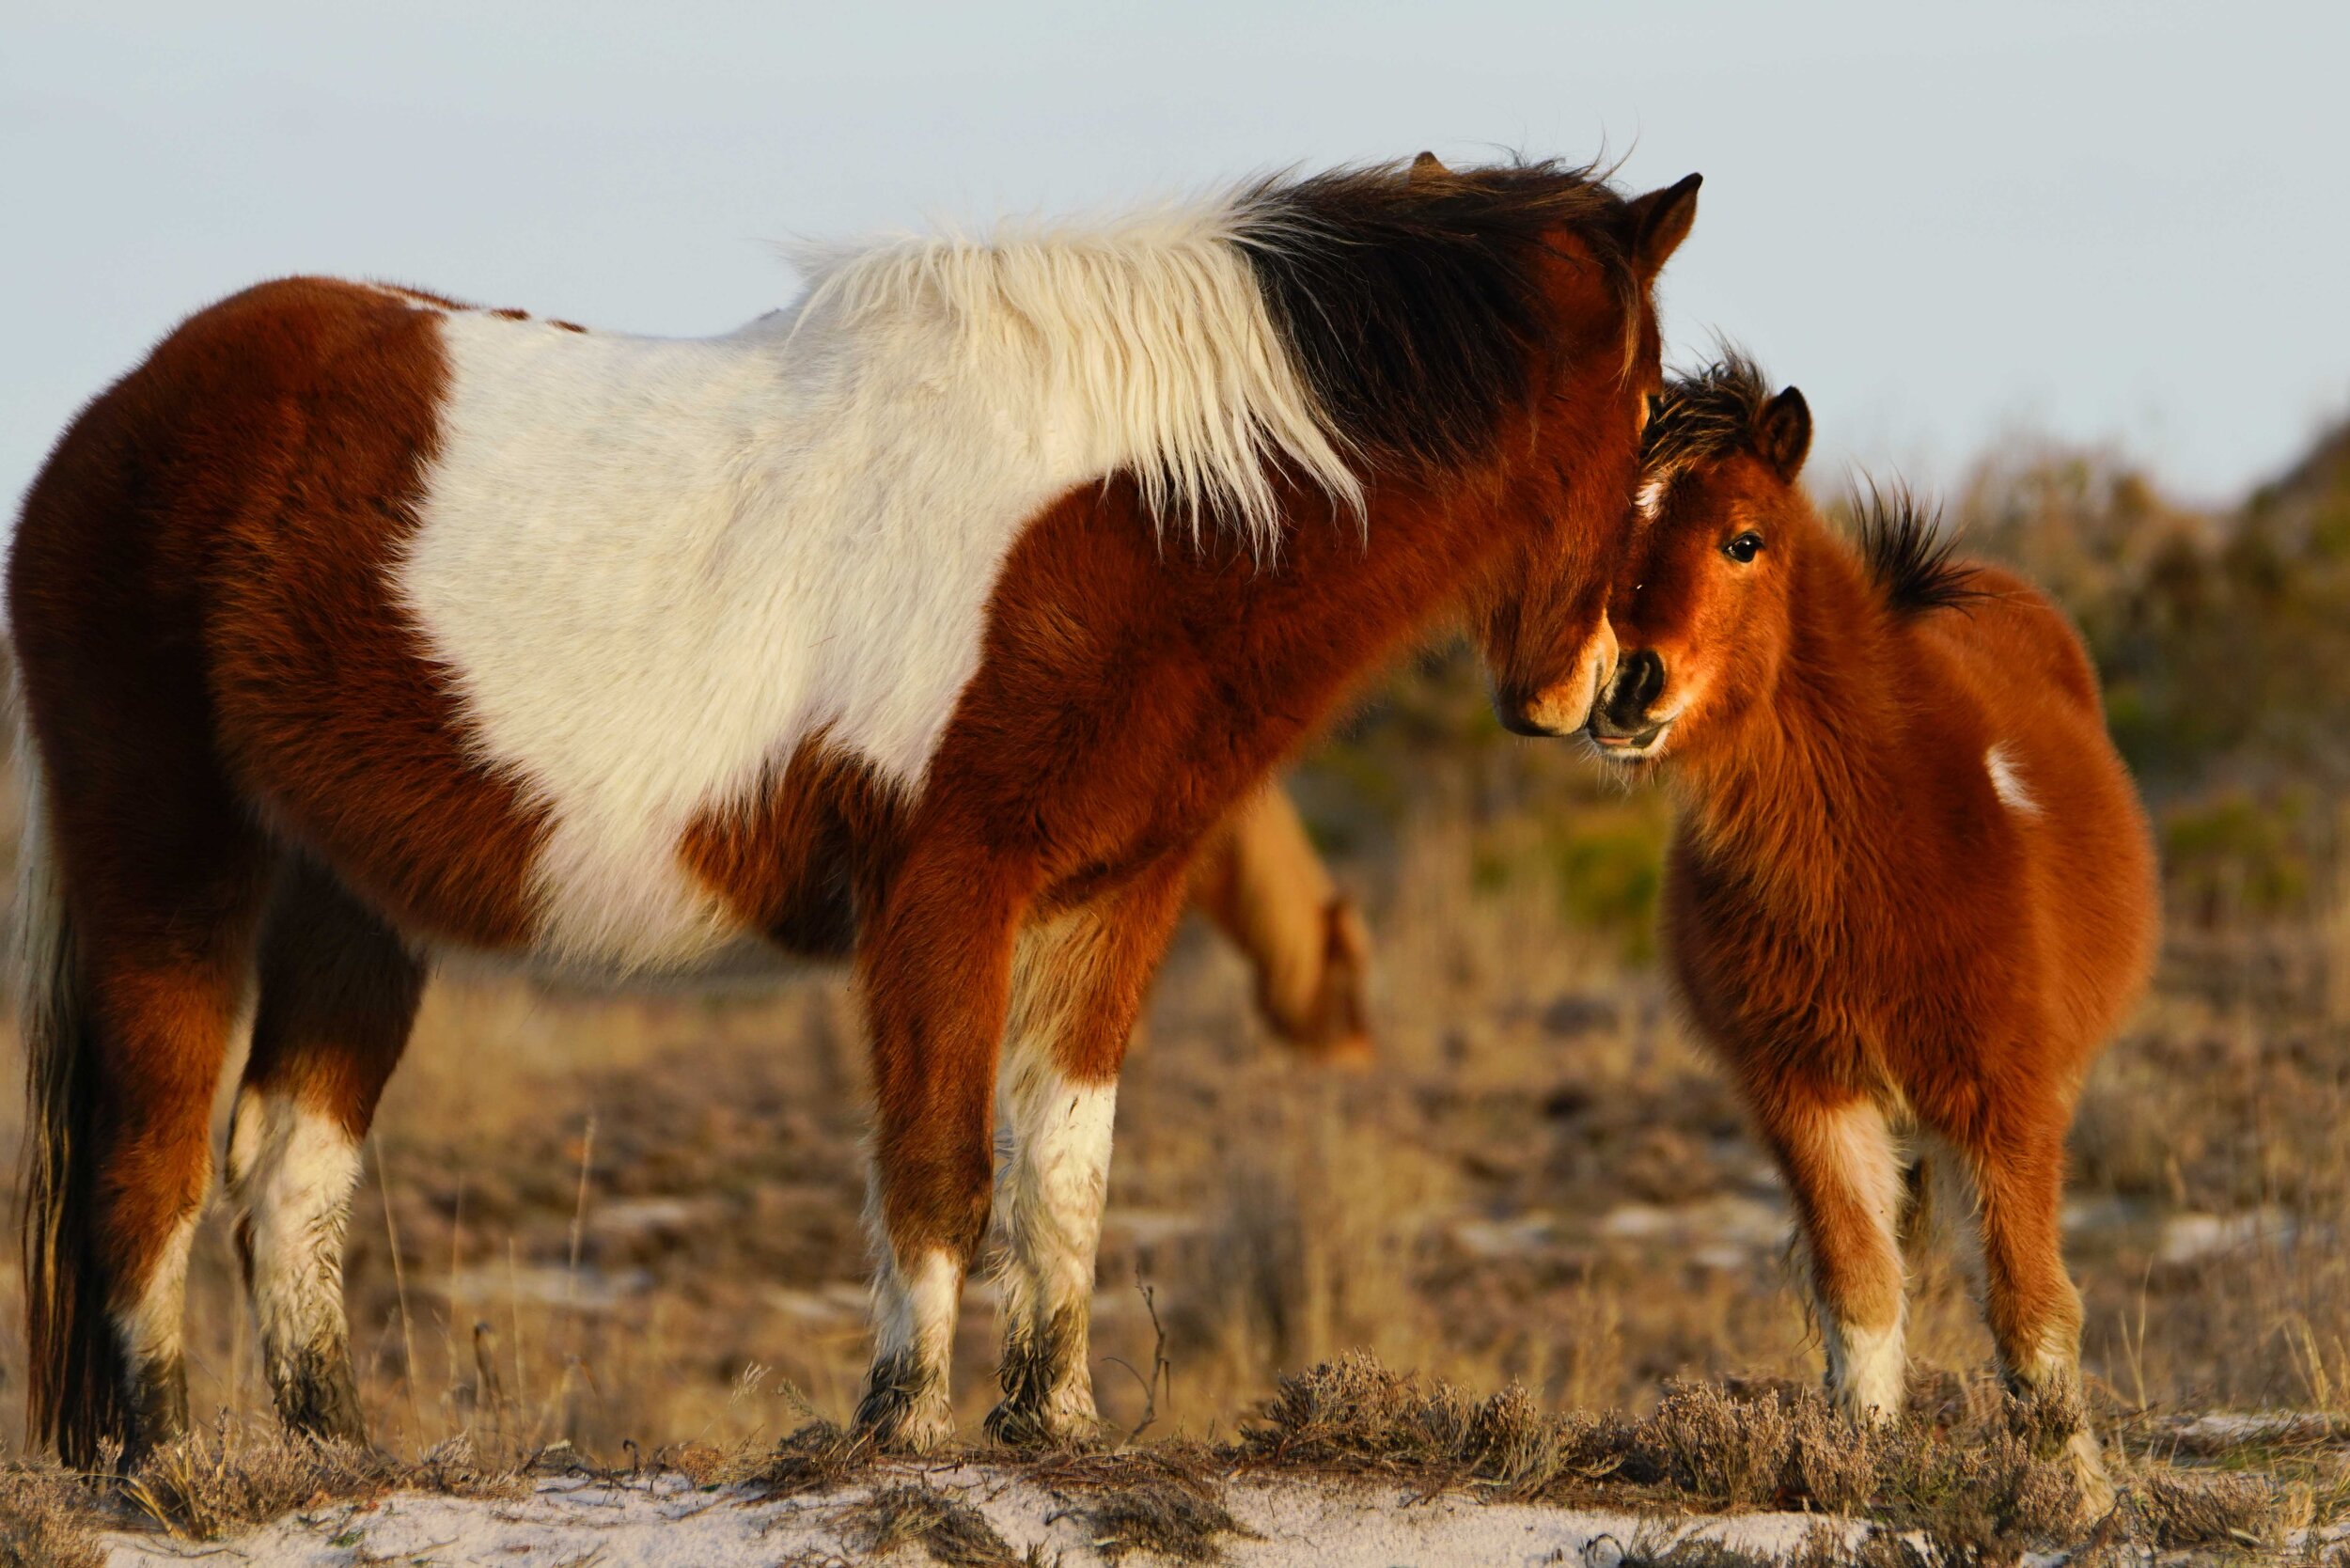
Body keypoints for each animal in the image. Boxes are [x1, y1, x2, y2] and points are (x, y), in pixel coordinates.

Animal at [4, 152, 1711, 1466]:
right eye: (1642, 404)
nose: (1609, 690)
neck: (1117, 522)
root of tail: (119, 416)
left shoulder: (1113, 895)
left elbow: (1065, 1168)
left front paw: (1055, 1426)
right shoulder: (942, 888)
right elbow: (939, 1165)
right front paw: (905, 1428)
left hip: (349, 894)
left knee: (289, 1176)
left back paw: (332, 1455)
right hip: (167, 855)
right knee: (153, 1155)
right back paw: (164, 1457)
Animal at [1589, 359, 2153, 1504]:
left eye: (1744, 540)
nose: (1624, 689)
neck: (1872, 842)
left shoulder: (2004, 1100)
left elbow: (2030, 1307)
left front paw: (2076, 1496)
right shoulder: (1806, 1094)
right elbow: (1860, 1294)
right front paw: (1857, 1466)